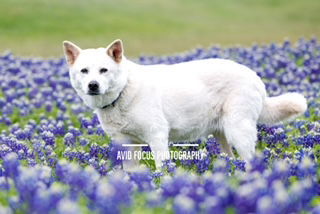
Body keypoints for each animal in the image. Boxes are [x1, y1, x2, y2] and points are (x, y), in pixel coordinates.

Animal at [63, 39, 308, 169]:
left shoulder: (157, 135)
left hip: (239, 129)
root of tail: (255, 76)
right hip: (221, 133)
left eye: (104, 70)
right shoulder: (126, 143)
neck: (122, 92)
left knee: (251, 161)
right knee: (230, 158)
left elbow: (162, 166)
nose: (93, 85)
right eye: (84, 71)